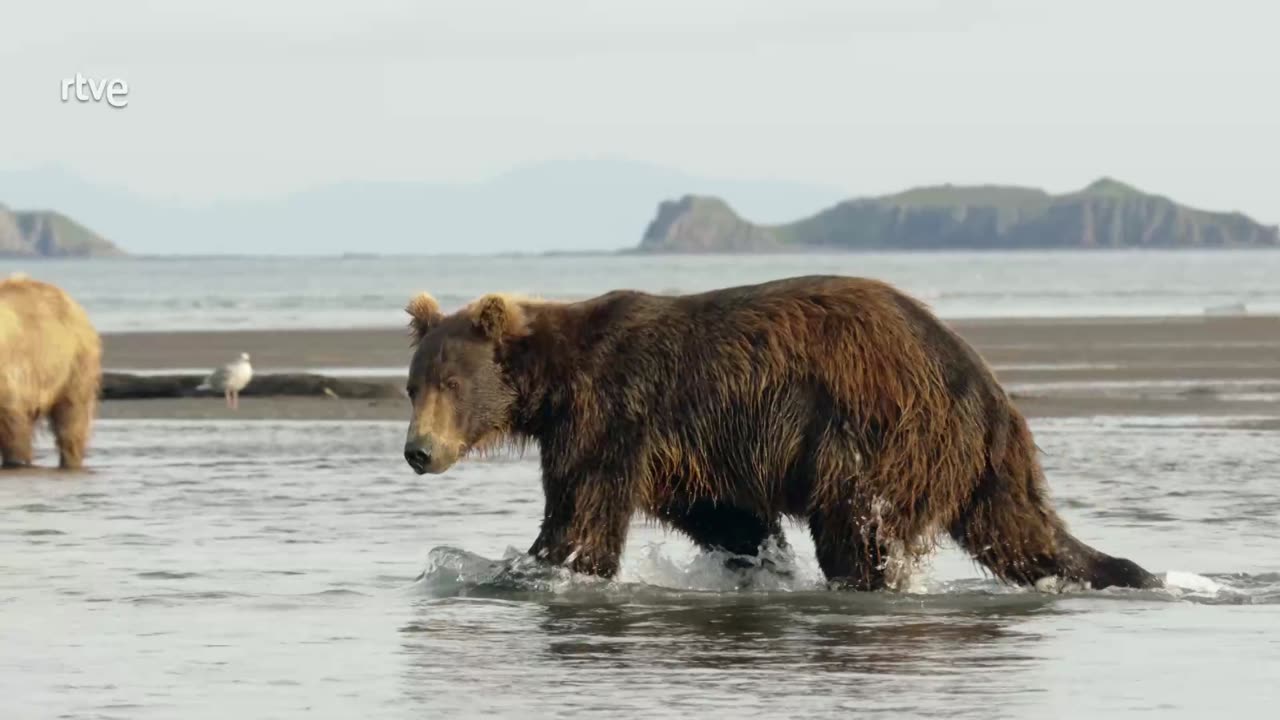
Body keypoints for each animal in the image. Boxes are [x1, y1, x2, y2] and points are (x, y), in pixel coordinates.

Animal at [399, 274, 1162, 589]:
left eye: (451, 384)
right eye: (412, 385)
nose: (417, 451)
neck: (553, 384)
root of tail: (986, 386)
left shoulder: (613, 414)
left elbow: (582, 517)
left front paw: (509, 567)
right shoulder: (685, 452)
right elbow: (727, 515)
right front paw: (760, 560)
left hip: (880, 430)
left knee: (858, 528)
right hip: (979, 464)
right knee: (1020, 532)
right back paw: (1127, 571)